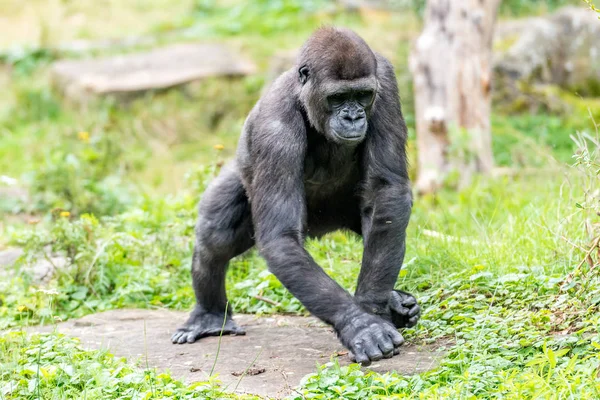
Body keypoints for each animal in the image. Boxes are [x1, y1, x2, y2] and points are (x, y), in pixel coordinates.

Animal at [171, 27, 420, 366]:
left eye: (362, 96)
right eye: (337, 98)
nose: (353, 117)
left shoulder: (385, 85)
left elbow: (387, 191)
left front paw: (372, 308)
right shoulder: (274, 128)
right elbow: (280, 237)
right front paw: (360, 324)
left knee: (382, 222)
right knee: (216, 236)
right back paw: (209, 316)